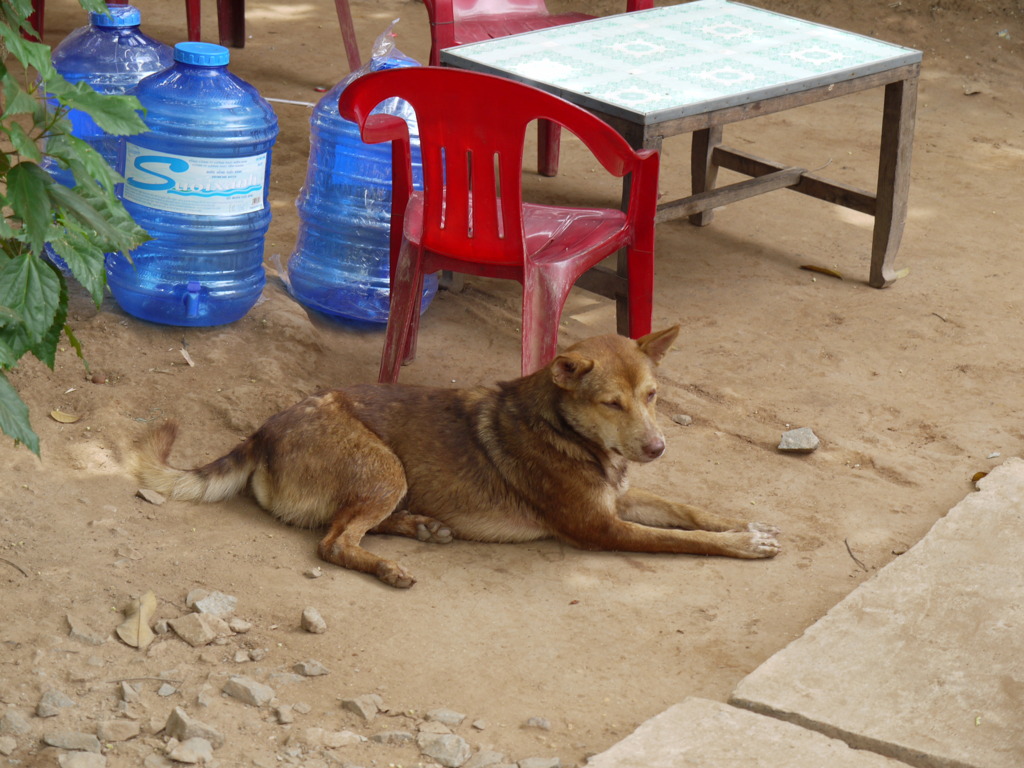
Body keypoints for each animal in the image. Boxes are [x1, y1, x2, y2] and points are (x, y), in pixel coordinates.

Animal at [132, 325, 778, 589]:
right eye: (610, 403)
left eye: (652, 396)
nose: (656, 447)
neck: (566, 429)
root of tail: (262, 431)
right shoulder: (600, 528)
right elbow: (684, 541)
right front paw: (740, 545)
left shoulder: (620, 497)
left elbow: (687, 511)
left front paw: (744, 524)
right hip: (384, 467)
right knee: (333, 542)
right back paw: (389, 566)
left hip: (386, 480)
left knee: (352, 526)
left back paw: (423, 527)